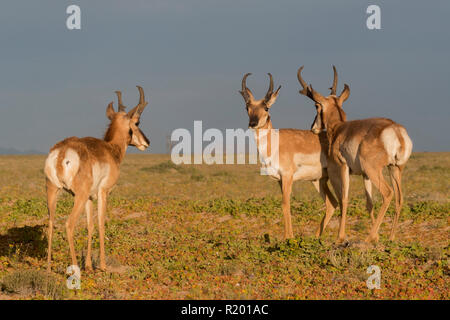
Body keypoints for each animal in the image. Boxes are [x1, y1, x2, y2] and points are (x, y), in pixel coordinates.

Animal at [44, 86, 150, 272]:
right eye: (137, 122)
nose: (147, 142)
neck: (110, 149)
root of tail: (63, 151)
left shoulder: (89, 198)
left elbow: (90, 225)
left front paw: (88, 265)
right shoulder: (103, 192)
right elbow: (101, 223)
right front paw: (102, 266)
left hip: (53, 192)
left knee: (50, 224)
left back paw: (49, 269)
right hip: (78, 197)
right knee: (69, 224)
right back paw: (75, 269)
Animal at [239, 72, 338, 238]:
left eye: (266, 107)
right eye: (247, 107)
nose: (252, 123)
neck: (275, 142)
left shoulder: (287, 177)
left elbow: (286, 204)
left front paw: (288, 238)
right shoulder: (280, 180)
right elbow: (284, 204)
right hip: (318, 181)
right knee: (332, 203)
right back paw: (315, 237)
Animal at [298, 67, 414, 242]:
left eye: (316, 106)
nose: (313, 128)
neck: (339, 129)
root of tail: (395, 129)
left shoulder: (341, 169)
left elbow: (344, 198)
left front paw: (340, 236)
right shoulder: (364, 175)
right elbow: (369, 203)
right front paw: (377, 237)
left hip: (376, 171)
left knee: (388, 193)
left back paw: (368, 238)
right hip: (394, 169)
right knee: (399, 199)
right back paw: (390, 237)